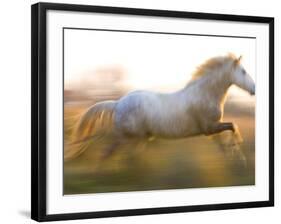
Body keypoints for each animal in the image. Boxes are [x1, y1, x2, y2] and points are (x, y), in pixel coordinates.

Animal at [64, 53, 255, 162]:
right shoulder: (210, 127)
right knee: (109, 153)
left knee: (124, 154)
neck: (204, 93)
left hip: (137, 138)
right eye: (244, 71)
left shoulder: (211, 129)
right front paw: (238, 152)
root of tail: (118, 104)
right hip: (127, 137)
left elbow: (225, 138)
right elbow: (233, 127)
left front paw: (231, 154)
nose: (254, 89)